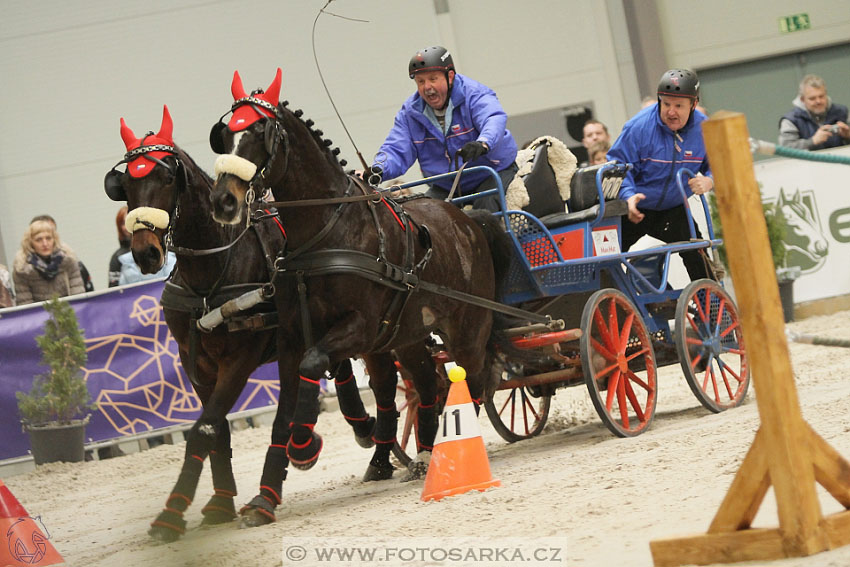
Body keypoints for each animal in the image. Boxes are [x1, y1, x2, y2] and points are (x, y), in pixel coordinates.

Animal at [104, 106, 376, 540]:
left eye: (167, 177)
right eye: (125, 182)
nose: (145, 252)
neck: (212, 269)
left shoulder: (240, 358)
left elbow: (203, 428)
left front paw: (171, 513)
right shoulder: (195, 363)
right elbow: (217, 428)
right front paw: (219, 501)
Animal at [207, 70, 510, 520]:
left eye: (261, 132)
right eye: (225, 134)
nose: (223, 201)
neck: (326, 231)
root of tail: (469, 218)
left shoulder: (360, 328)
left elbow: (315, 365)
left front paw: (304, 446)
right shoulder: (291, 337)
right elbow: (283, 411)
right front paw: (265, 496)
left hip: (467, 329)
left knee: (472, 383)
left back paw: (444, 456)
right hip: (408, 334)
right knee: (428, 383)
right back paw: (424, 454)